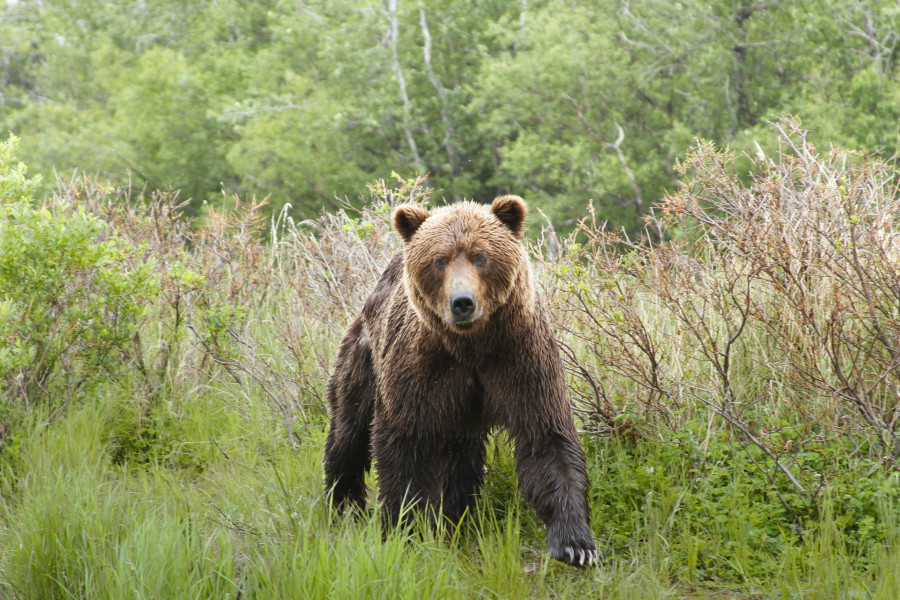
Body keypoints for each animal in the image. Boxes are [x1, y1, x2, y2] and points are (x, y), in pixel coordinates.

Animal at [326, 196, 596, 568]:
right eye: (439, 260)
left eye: (481, 256)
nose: (462, 302)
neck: (471, 346)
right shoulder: (420, 368)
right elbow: (405, 442)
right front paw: (405, 529)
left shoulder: (520, 358)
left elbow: (546, 435)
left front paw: (575, 544)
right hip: (365, 356)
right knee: (348, 430)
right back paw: (342, 504)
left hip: (461, 413)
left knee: (462, 459)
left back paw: (455, 516)